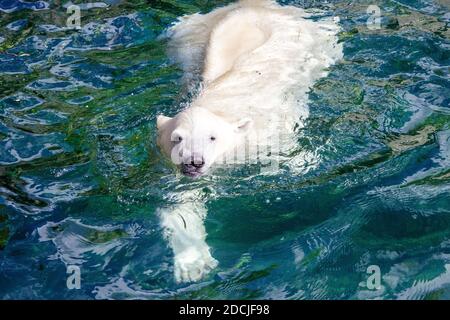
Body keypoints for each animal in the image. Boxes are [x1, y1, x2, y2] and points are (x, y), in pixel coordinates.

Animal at [156, 0, 342, 282]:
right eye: (177, 138)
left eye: (213, 137)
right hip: (187, 39)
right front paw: (192, 265)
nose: (193, 162)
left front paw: (303, 163)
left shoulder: (265, 129)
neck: (218, 107)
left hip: (307, 37)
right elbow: (181, 204)